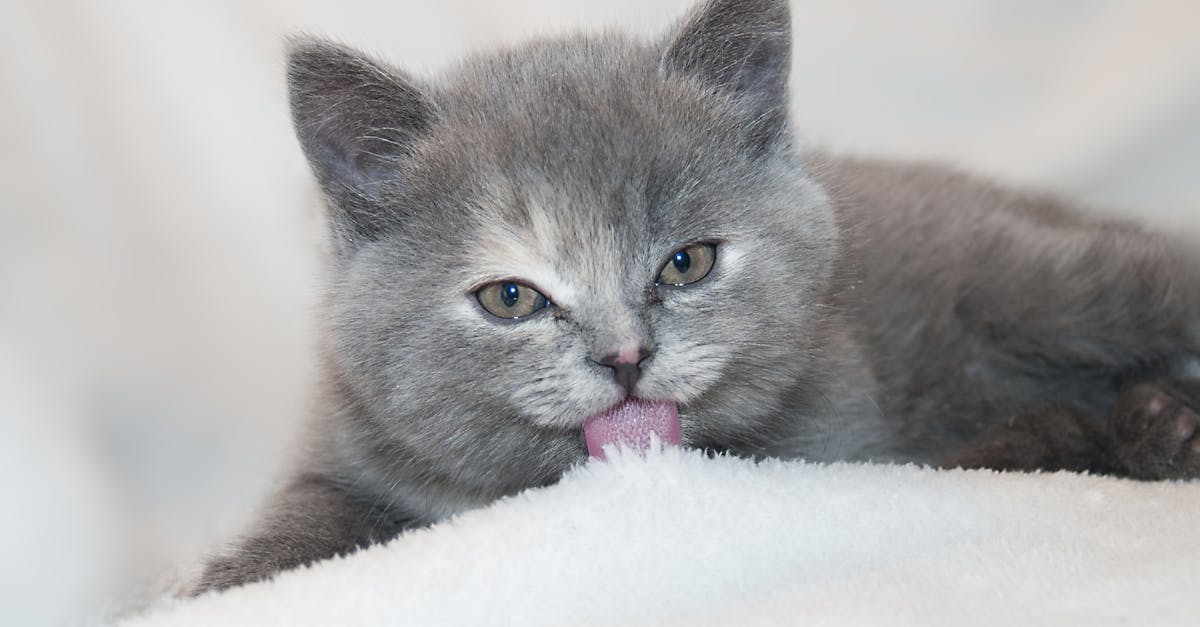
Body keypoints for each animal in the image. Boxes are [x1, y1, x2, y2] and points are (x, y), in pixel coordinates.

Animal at [196, 0, 1200, 590]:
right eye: (512, 298)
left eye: (686, 263)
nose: (625, 356)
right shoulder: (348, 433)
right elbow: (313, 508)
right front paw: (232, 576)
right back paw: (1150, 426)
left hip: (1050, 281)